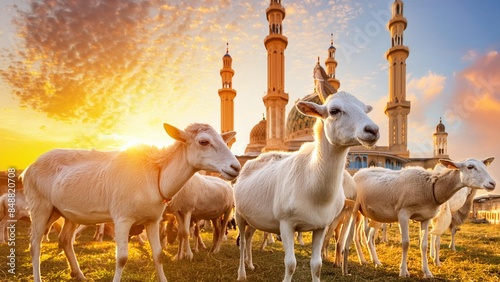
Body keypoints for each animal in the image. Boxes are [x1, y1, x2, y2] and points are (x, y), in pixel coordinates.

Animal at [22, 123, 241, 282]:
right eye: (203, 141)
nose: (236, 167)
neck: (155, 175)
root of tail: (29, 168)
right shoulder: (122, 219)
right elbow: (122, 258)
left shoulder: (153, 220)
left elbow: (158, 255)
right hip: (41, 207)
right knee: (35, 245)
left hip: (67, 213)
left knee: (65, 240)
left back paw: (79, 275)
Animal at [234, 92, 378, 282]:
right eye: (334, 110)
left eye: (364, 109)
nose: (373, 130)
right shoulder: (286, 224)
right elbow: (290, 264)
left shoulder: (321, 226)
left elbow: (317, 266)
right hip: (239, 214)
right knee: (243, 242)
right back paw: (242, 272)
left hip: (254, 217)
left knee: (249, 238)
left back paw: (250, 264)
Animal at [348, 158, 496, 278]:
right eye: (470, 167)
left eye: (485, 165)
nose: (492, 183)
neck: (431, 187)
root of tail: (358, 173)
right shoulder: (403, 213)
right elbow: (406, 243)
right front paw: (403, 271)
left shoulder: (426, 218)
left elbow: (424, 245)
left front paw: (427, 272)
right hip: (355, 209)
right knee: (354, 236)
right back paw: (362, 260)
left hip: (375, 215)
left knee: (368, 236)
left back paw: (376, 262)